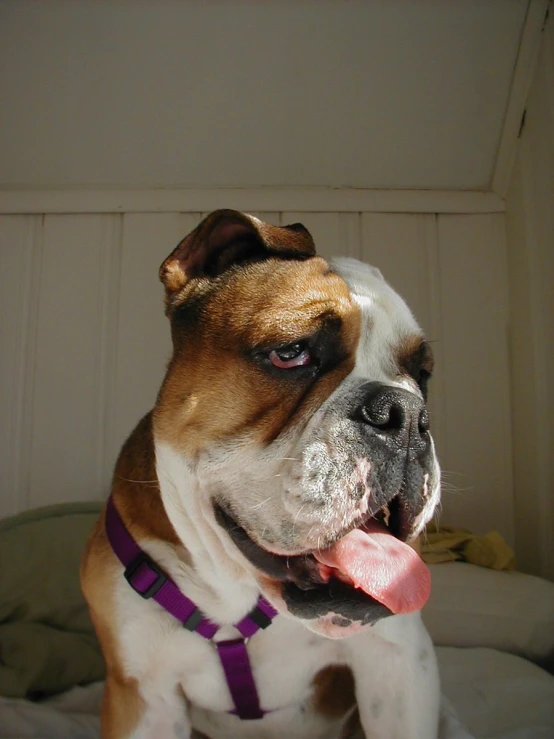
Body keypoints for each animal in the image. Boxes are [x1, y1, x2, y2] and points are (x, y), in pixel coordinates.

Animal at [81, 210, 440, 739]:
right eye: (291, 352)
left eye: (422, 374)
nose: (407, 415)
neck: (236, 591)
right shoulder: (143, 695)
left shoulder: (399, 664)